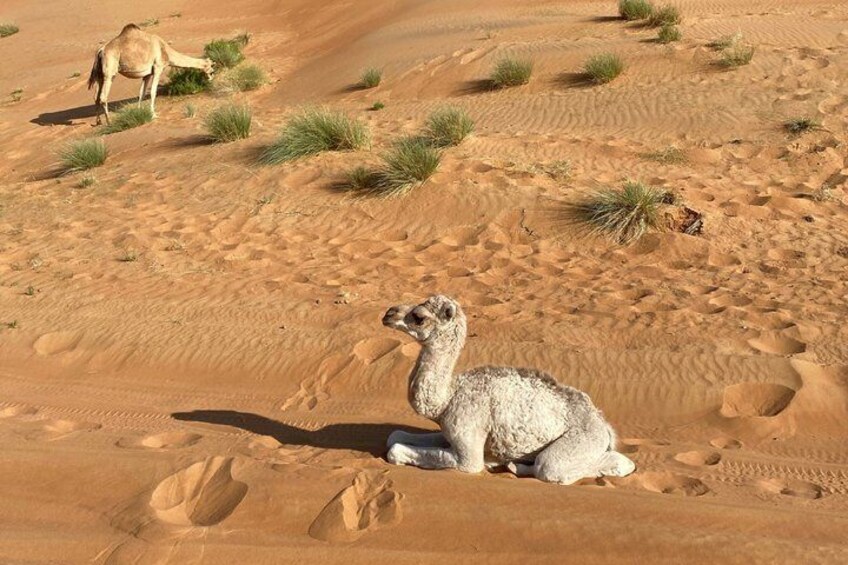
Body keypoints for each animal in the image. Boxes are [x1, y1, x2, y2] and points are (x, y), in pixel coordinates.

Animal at [382, 295, 636, 485]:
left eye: (419, 317)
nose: (389, 313)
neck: (447, 400)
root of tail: (602, 424)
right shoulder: (449, 430)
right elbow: (395, 435)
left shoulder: (467, 448)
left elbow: (396, 450)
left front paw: (490, 461)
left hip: (583, 440)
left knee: (553, 466)